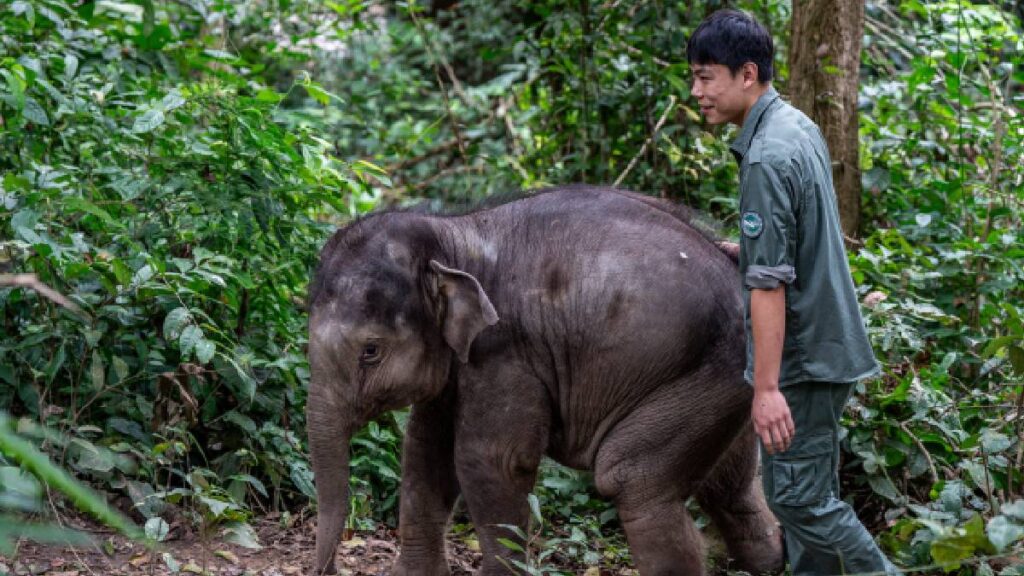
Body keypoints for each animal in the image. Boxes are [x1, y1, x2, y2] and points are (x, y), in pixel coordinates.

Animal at [307, 186, 778, 569]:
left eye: (370, 352)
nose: (328, 567)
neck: (454, 234)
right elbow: (424, 452)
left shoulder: (507, 351)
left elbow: (490, 461)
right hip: (724, 384)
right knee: (730, 488)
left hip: (706, 374)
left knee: (633, 480)